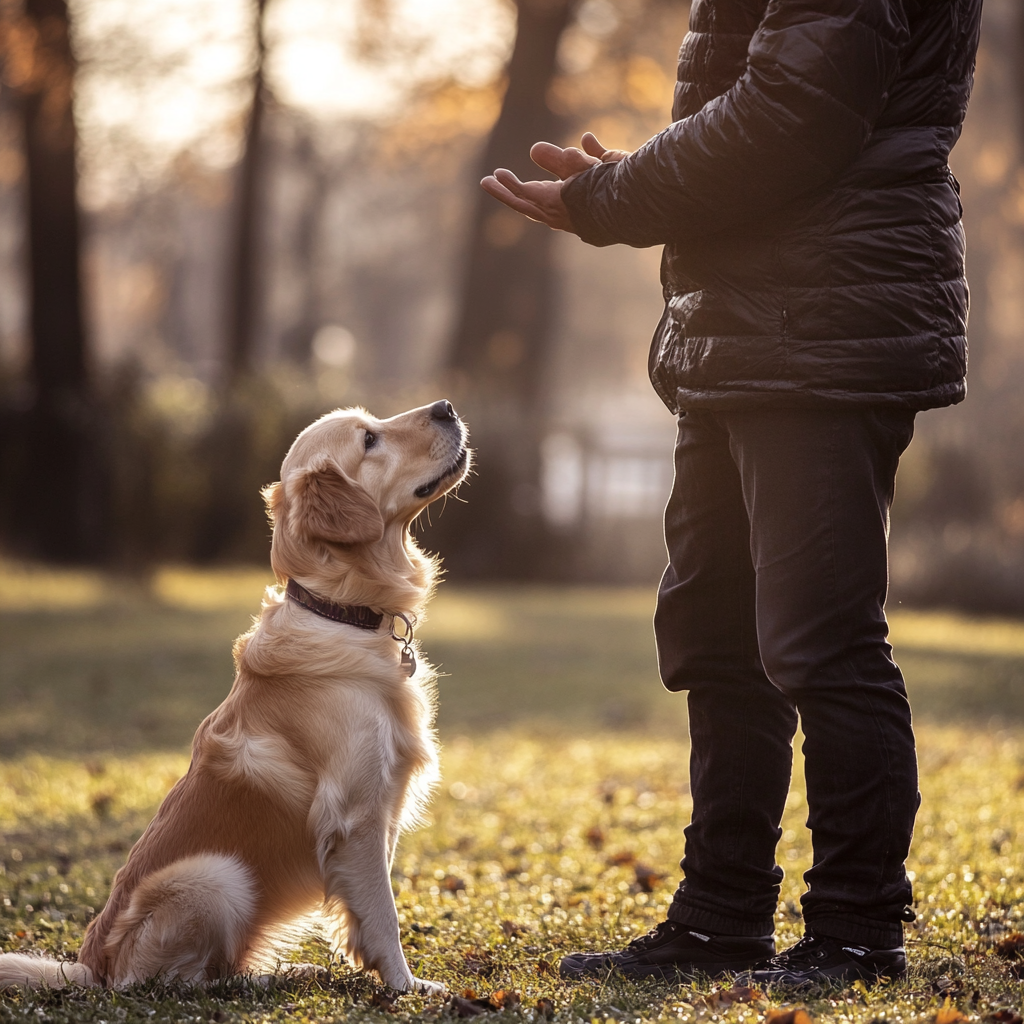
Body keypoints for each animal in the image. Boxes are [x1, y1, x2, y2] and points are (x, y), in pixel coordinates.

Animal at [0, 399, 471, 991]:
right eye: (369, 440)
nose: (447, 407)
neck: (341, 613)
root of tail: (92, 965)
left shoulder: (379, 811)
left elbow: (369, 909)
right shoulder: (356, 815)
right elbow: (383, 914)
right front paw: (406, 986)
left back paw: (291, 970)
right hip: (216, 876)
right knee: (175, 981)